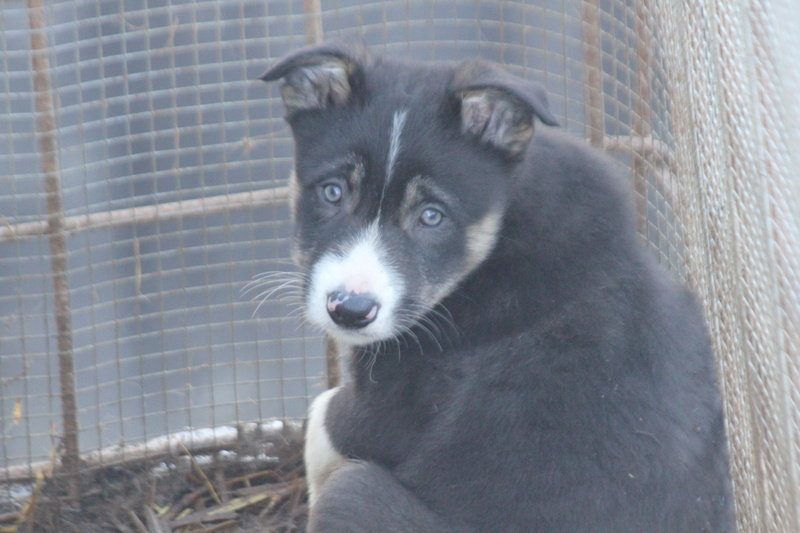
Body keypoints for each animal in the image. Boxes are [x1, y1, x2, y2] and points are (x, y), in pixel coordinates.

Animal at [260, 39, 736, 528]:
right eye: (332, 191)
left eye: (432, 216)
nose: (350, 311)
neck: (502, 228)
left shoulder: (383, 407)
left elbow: (320, 423)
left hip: (356, 496)